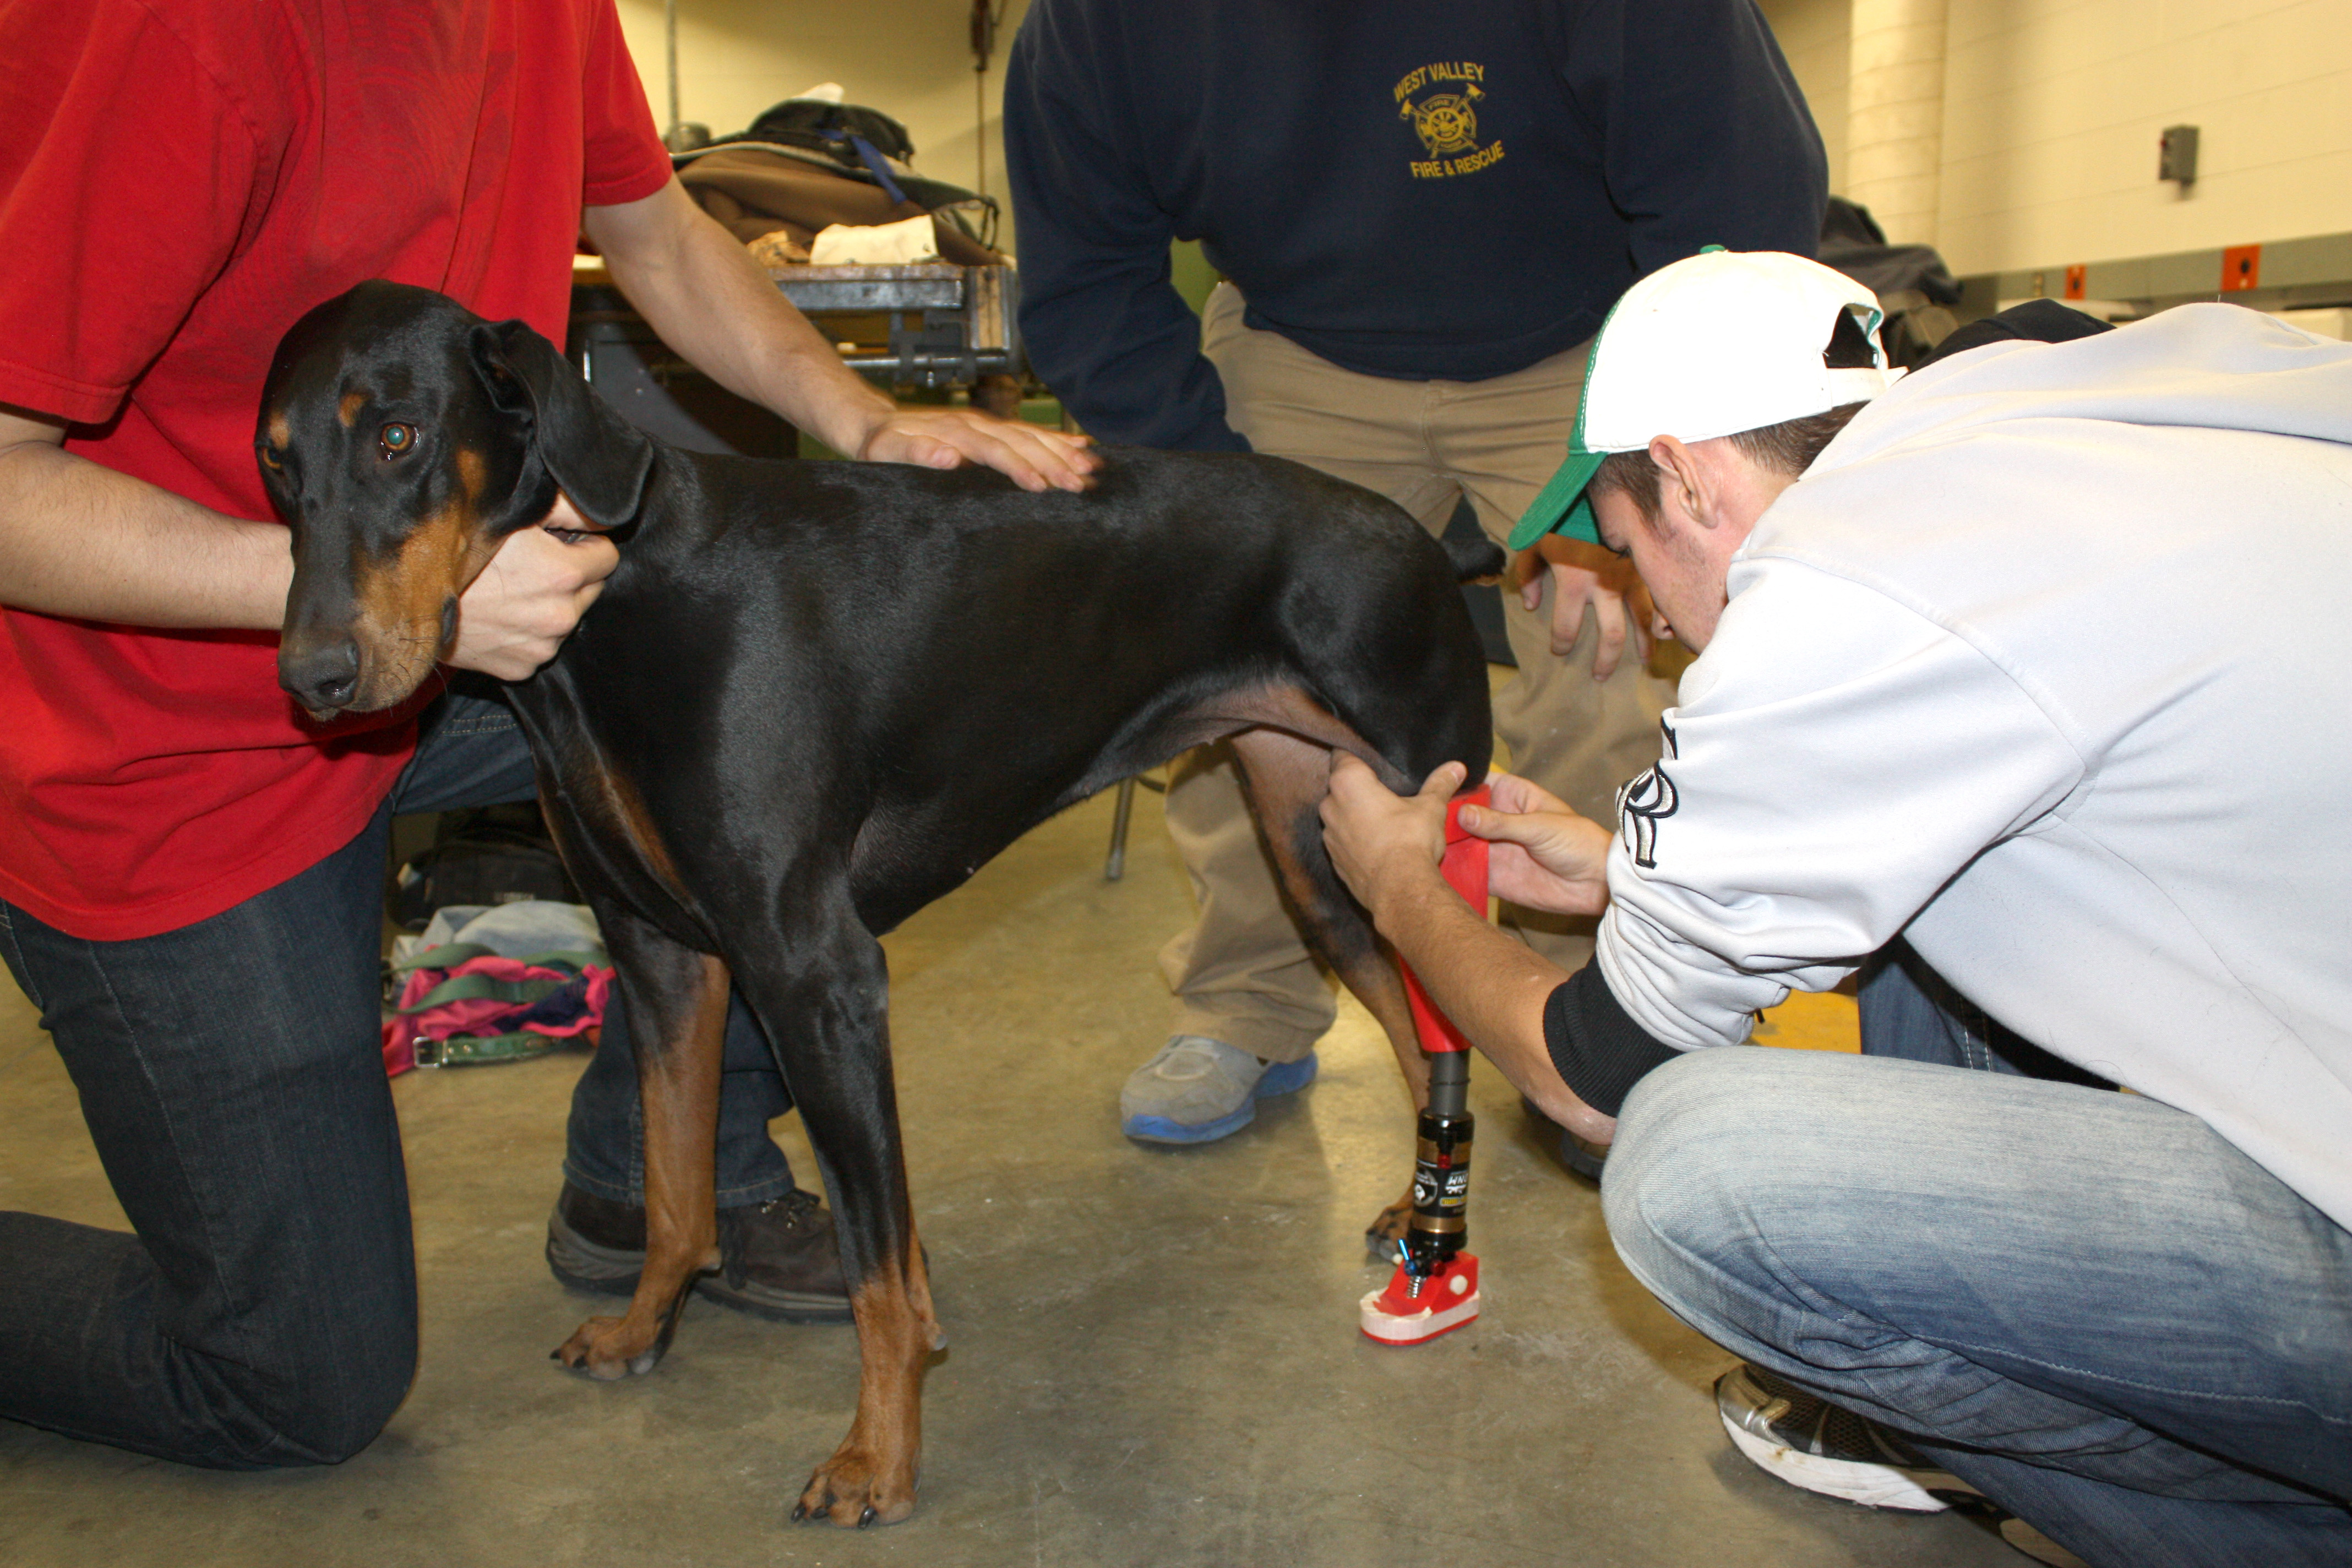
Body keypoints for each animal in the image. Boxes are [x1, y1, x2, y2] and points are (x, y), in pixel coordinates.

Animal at [257, 278, 1495, 1523]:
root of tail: (1425, 538)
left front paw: (877, 1457)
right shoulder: (662, 953)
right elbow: (672, 1185)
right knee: (1407, 1020)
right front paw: (645, 1325)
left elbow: (879, 1269)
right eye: (275, 464)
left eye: (398, 436)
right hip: (1322, 855)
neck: (624, 589)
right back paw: (1411, 1206)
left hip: (1418, 826)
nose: (311, 679)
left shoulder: (818, 975)